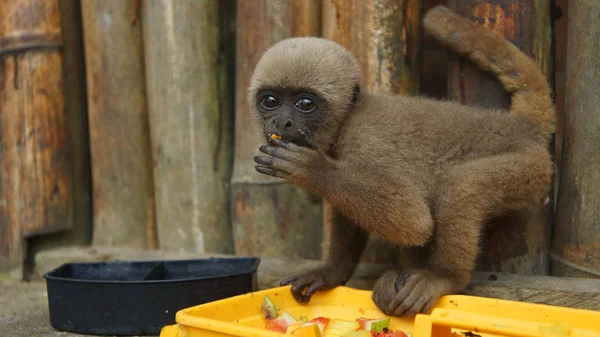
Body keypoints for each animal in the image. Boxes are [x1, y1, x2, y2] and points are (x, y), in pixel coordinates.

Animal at [247, 3, 552, 316]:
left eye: (305, 104)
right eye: (270, 101)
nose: (281, 122)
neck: (346, 121)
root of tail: (520, 125)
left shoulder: (367, 142)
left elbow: (414, 222)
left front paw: (312, 169)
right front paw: (331, 272)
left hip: (530, 167)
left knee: (459, 186)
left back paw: (445, 278)